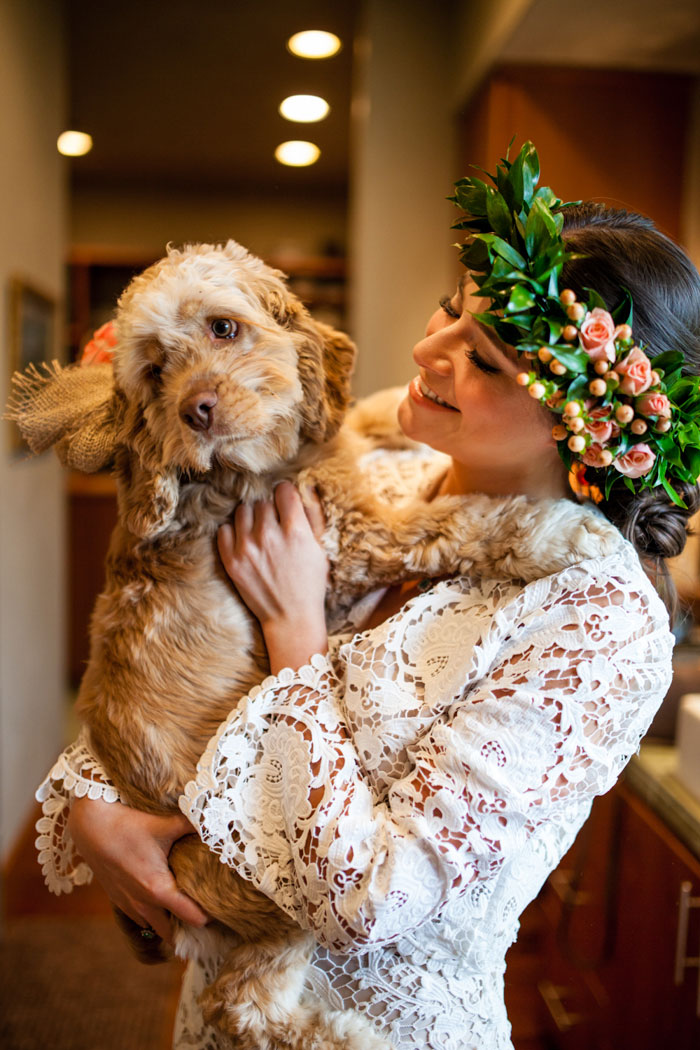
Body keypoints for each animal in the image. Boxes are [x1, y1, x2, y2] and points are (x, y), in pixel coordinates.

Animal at [5, 240, 617, 1050]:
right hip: (283, 906)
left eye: (223, 328)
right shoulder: (356, 542)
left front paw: (389, 402)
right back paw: (352, 1036)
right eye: (156, 370)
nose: (196, 410)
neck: (268, 463)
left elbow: (362, 413)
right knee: (242, 1007)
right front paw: (566, 531)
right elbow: (462, 520)